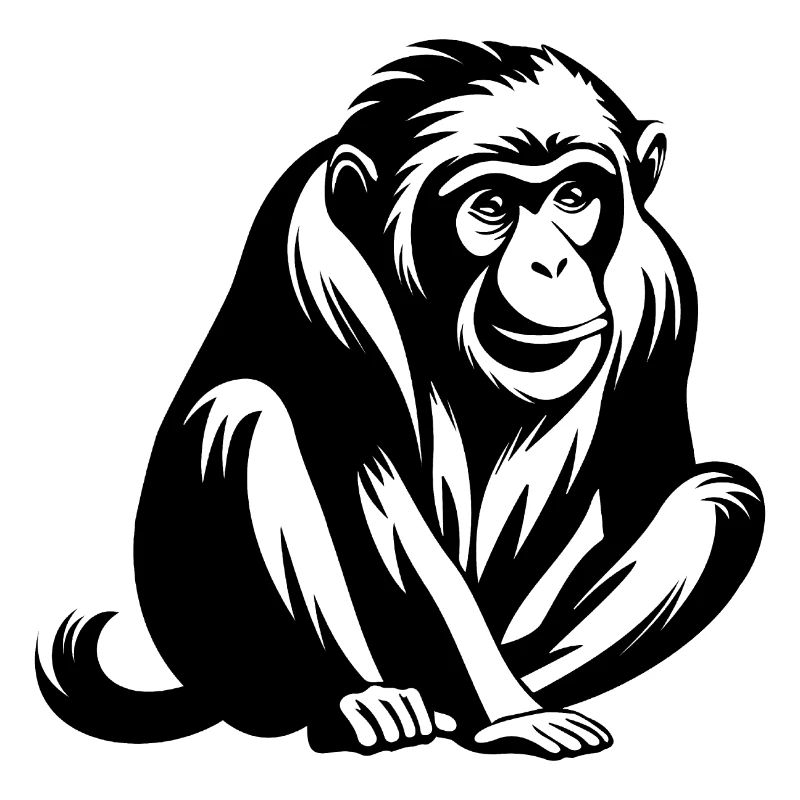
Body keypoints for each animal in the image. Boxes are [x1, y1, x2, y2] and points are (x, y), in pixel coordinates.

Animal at [37, 40, 764, 759]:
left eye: (574, 195)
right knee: (242, 418)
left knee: (721, 498)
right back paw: (359, 701)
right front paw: (507, 715)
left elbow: (657, 487)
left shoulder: (662, 284)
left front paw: (512, 707)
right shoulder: (323, 274)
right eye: (491, 206)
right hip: (227, 656)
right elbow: (384, 497)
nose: (551, 264)